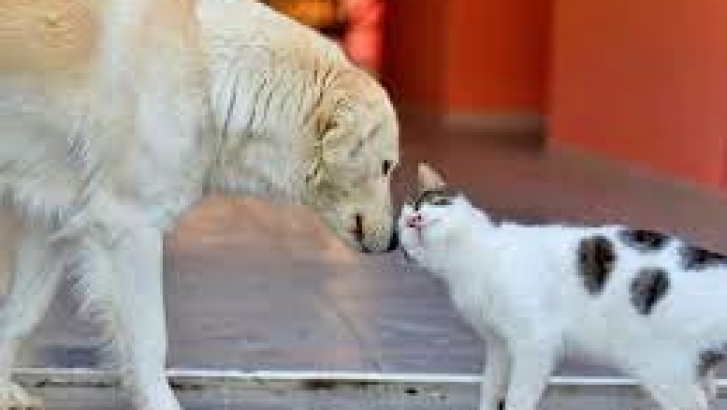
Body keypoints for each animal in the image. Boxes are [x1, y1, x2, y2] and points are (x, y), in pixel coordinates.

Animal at [0, 0, 399, 408]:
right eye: (387, 166)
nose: (395, 241)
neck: (210, 72)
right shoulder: (131, 226)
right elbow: (150, 337)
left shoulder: (50, 220)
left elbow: (21, 313)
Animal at [398, 163, 727, 410]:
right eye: (405, 223)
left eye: (432, 202)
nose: (414, 219)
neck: (472, 260)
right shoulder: (499, 345)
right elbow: (491, 387)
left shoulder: (535, 342)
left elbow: (518, 396)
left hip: (661, 367)